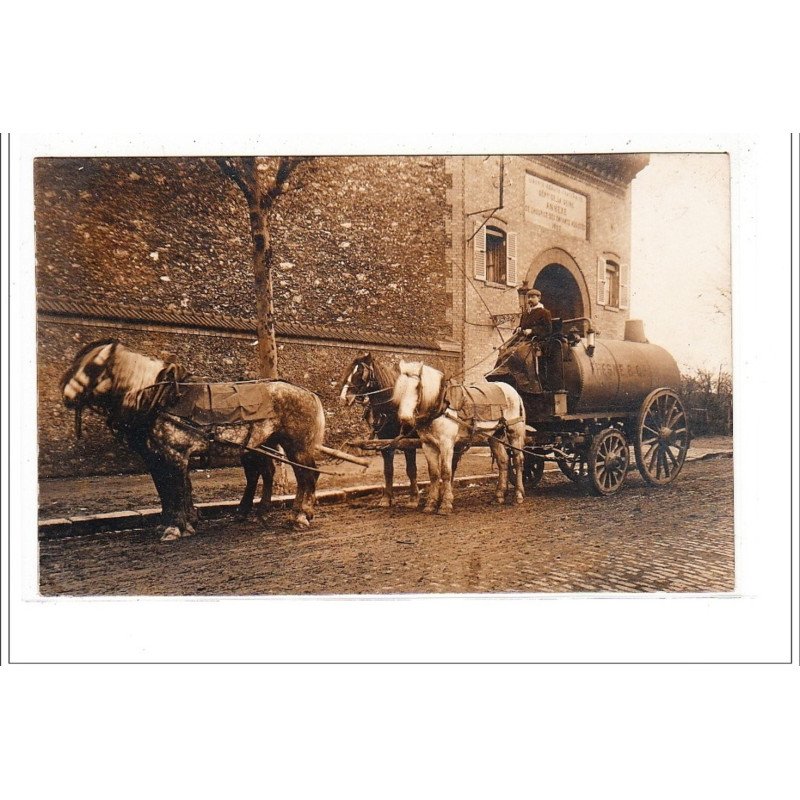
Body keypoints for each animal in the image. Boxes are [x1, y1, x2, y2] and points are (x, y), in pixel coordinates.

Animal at [60, 340, 324, 540]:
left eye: (93, 366)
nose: (66, 394)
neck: (159, 398)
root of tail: (309, 393)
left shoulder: (174, 454)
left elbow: (176, 489)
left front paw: (175, 527)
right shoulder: (156, 458)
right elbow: (168, 490)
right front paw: (181, 522)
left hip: (296, 446)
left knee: (307, 476)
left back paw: (300, 515)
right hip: (260, 445)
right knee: (270, 473)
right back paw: (262, 512)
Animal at [392, 360, 528, 516]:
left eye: (417, 386)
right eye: (399, 387)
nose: (405, 418)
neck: (441, 404)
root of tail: (513, 391)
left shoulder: (447, 444)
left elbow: (446, 472)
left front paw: (445, 504)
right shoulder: (428, 445)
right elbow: (434, 474)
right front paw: (431, 504)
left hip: (514, 433)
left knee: (517, 461)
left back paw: (518, 495)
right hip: (495, 436)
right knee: (503, 461)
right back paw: (499, 496)